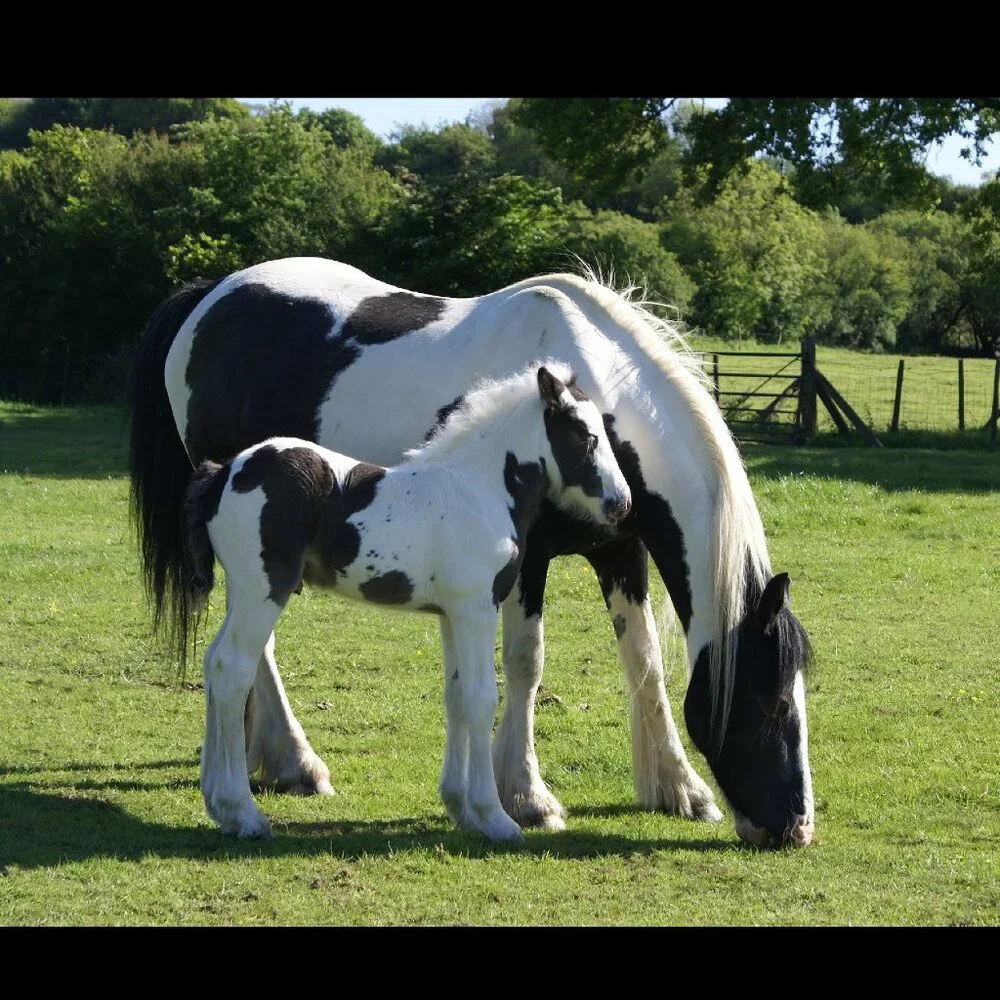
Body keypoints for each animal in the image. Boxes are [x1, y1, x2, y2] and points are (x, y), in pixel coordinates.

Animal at [178, 363, 632, 841]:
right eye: (584, 436)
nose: (621, 504)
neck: (480, 489)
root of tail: (224, 472)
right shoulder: (476, 607)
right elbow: (480, 698)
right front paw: (494, 817)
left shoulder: (451, 615)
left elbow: (455, 696)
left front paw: (461, 808)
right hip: (262, 589)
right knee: (232, 669)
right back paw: (242, 813)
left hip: (241, 590)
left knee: (212, 663)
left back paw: (217, 802)